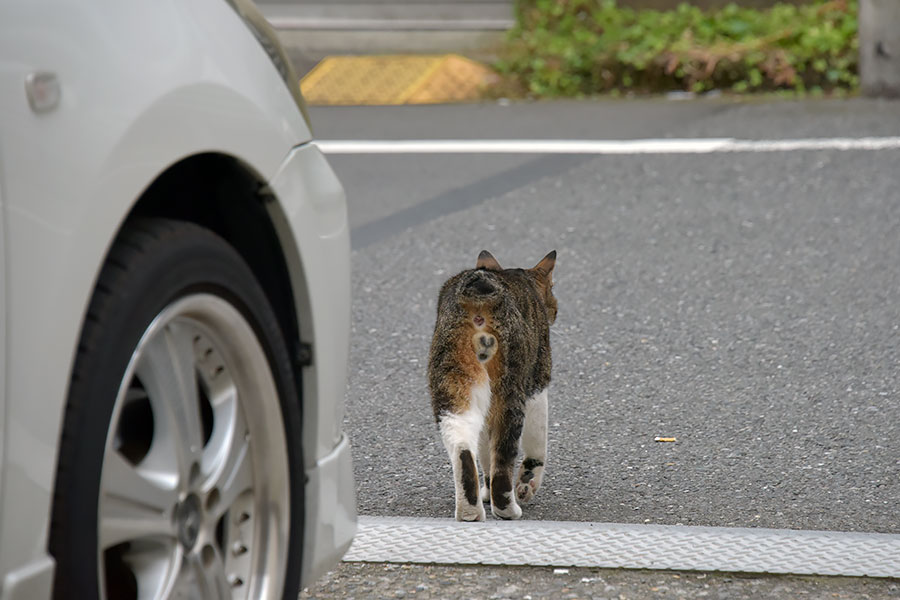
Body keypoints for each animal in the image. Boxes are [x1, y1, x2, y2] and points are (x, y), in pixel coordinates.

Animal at [428, 248, 556, 520]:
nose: (554, 310)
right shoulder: (538, 382)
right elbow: (537, 445)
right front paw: (527, 484)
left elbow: (485, 451)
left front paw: (484, 491)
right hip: (509, 387)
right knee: (504, 453)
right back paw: (507, 508)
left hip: (452, 381)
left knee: (463, 445)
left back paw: (470, 510)